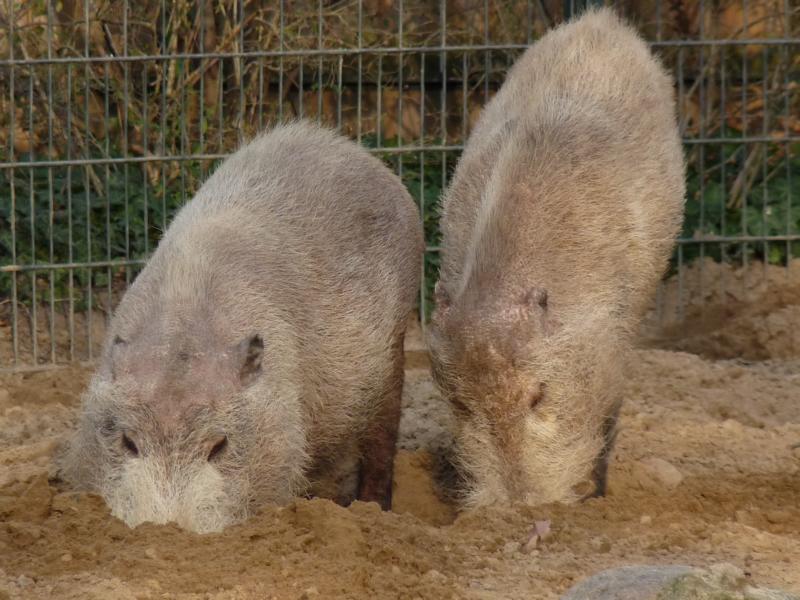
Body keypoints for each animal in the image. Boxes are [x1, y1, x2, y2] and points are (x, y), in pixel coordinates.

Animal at [58, 121, 424, 533]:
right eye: (128, 442)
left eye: (219, 446)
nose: (169, 528)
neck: (181, 329)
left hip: (394, 347)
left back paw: (373, 506)